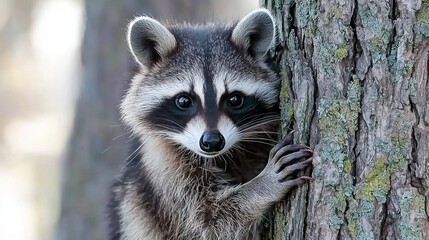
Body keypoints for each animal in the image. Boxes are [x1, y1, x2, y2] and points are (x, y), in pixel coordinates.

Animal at [108, 8, 312, 240]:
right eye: (184, 101)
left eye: (234, 99)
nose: (212, 141)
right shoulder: (164, 167)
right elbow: (209, 221)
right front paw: (263, 185)